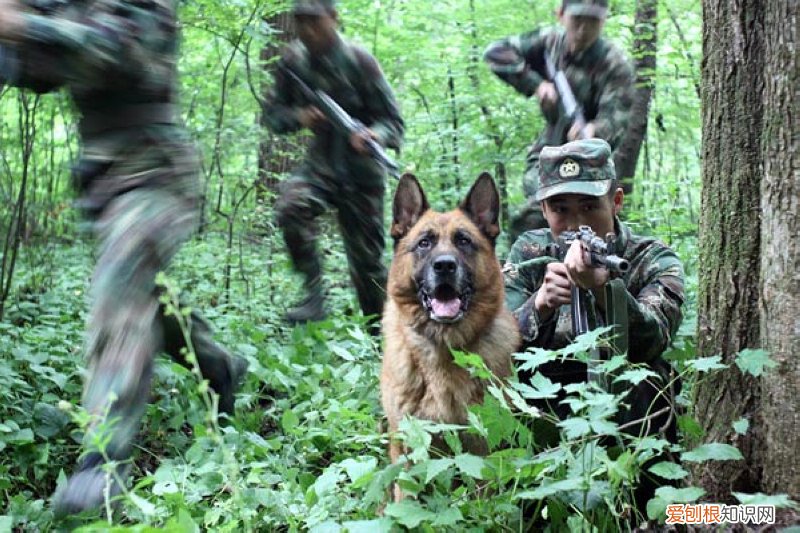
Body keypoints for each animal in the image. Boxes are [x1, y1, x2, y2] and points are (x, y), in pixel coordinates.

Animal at [382, 171, 520, 490]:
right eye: (424, 243)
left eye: (464, 241)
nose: (444, 266)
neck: (444, 348)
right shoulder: (409, 447)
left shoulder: (482, 445)